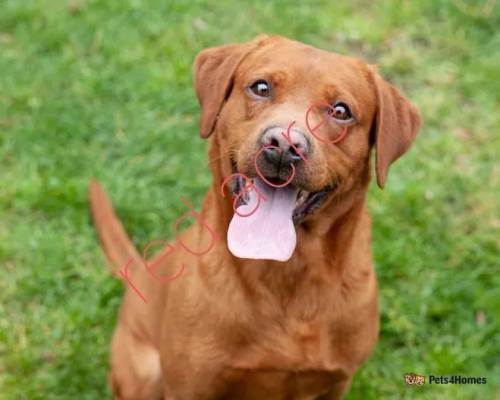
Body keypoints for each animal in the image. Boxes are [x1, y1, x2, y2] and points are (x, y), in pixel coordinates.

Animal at [89, 35, 418, 400]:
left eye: (341, 110)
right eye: (261, 87)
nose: (284, 146)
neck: (286, 274)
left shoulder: (335, 383)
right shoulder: (190, 386)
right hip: (146, 374)